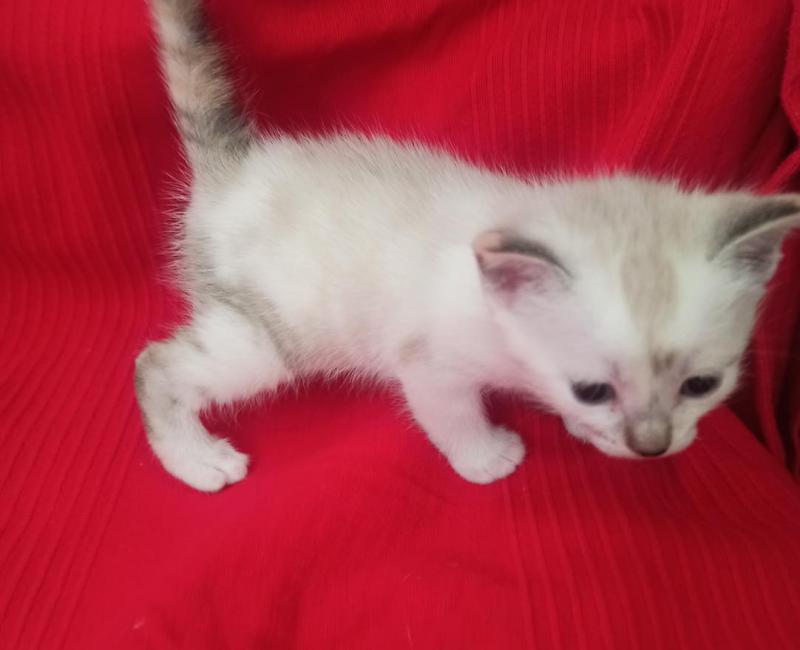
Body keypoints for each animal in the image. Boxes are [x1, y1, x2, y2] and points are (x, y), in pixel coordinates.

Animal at [136, 0, 800, 492]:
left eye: (701, 385)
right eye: (593, 388)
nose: (653, 446)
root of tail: (237, 168)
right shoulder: (428, 362)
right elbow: (450, 416)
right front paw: (486, 458)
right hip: (267, 335)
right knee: (156, 365)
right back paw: (198, 461)